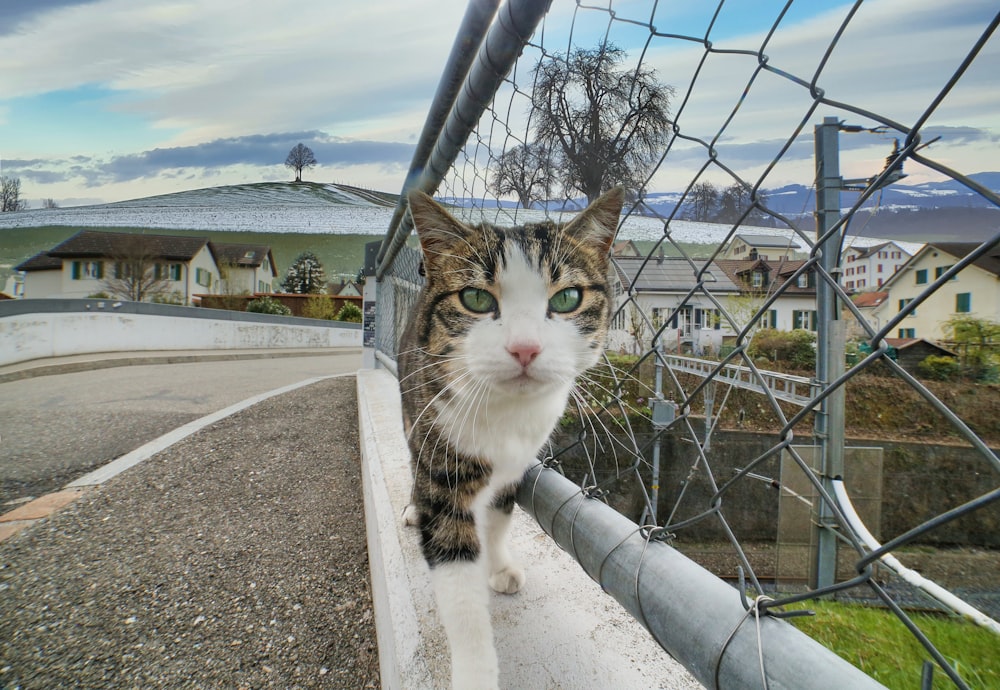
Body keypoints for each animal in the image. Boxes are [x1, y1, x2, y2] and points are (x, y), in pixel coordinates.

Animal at [394, 185, 620, 684]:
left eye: (567, 297)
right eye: (476, 299)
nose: (525, 348)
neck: (506, 414)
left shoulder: (519, 463)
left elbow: (499, 517)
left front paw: (499, 567)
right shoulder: (441, 461)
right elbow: (458, 587)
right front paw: (476, 673)